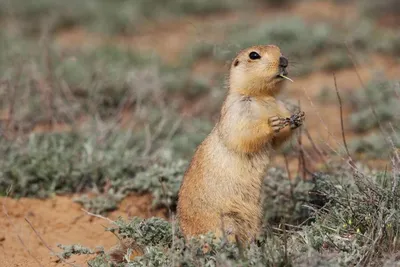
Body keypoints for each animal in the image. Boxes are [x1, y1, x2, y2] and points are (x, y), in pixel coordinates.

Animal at [177, 44, 304, 247]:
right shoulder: (237, 109)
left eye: (279, 49)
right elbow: (241, 134)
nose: (284, 61)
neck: (261, 97)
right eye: (254, 55)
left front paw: (296, 119)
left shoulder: (279, 105)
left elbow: (277, 141)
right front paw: (272, 124)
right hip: (225, 221)